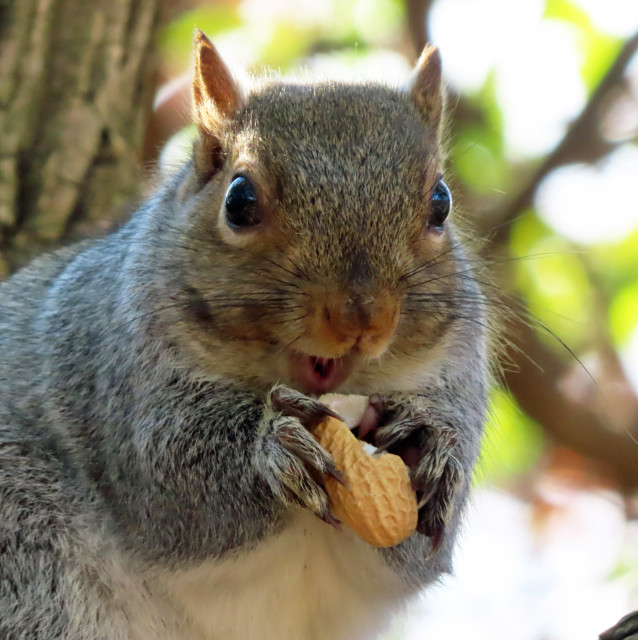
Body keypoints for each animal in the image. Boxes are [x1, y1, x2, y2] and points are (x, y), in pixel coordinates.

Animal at [0, 30, 490, 640]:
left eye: (441, 203)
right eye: (239, 200)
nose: (360, 317)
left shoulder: (457, 376)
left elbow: (417, 548)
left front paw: (433, 447)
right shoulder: (113, 367)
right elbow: (171, 471)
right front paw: (272, 444)